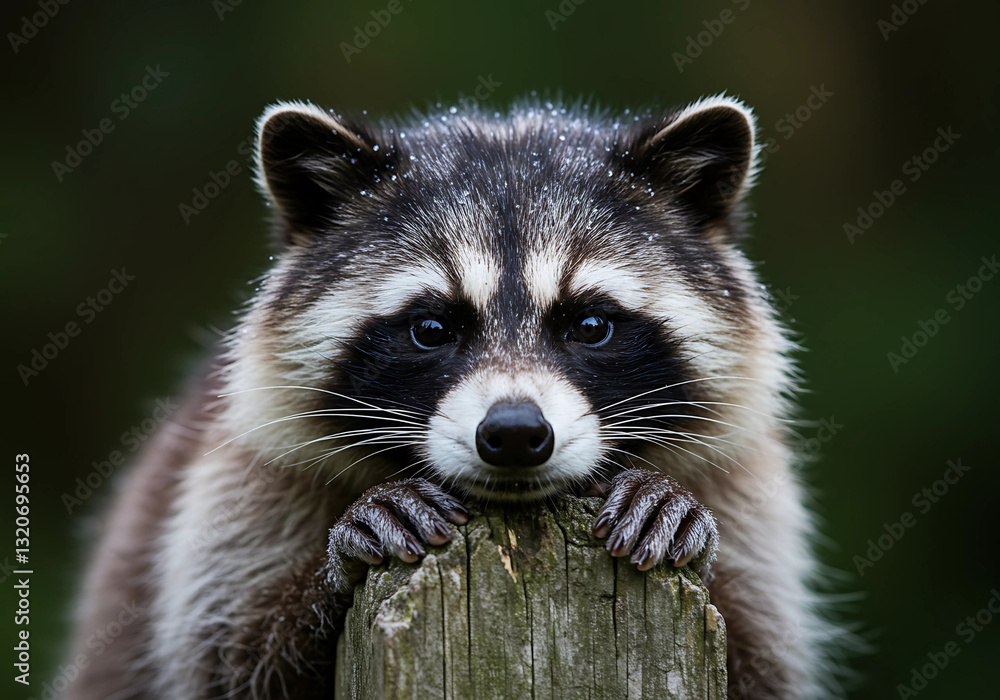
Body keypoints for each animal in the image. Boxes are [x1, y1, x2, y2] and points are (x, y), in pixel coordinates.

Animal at [66, 95, 842, 699]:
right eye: (432, 328)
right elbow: (229, 657)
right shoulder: (246, 479)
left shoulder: (746, 489)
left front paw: (664, 504)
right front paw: (336, 565)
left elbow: (764, 657)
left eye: (591, 325)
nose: (515, 433)